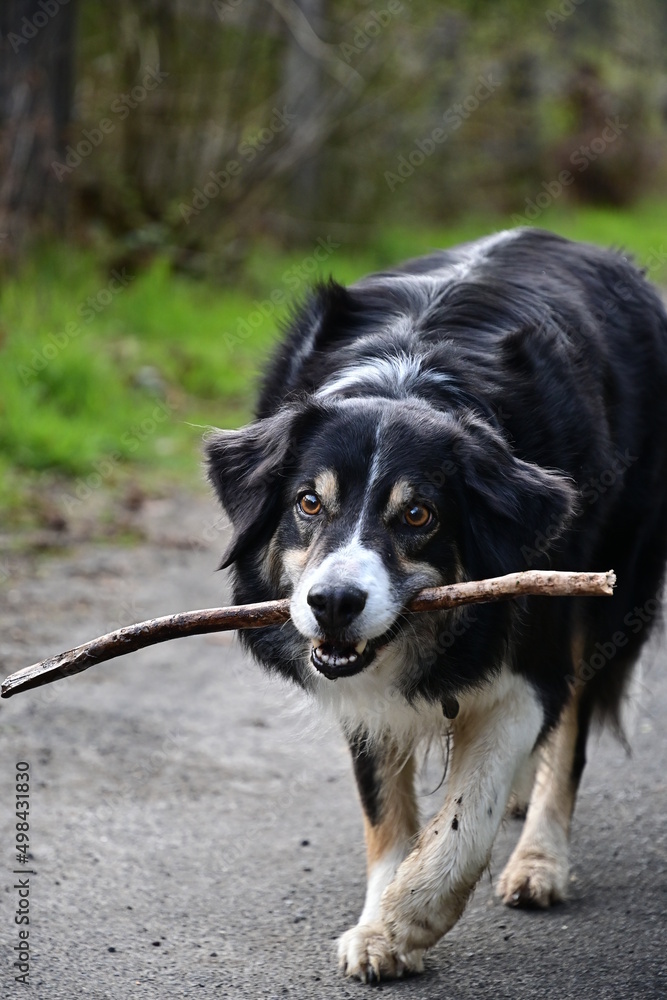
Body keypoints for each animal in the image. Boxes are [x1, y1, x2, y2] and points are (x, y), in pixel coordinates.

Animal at [205, 229, 667, 984]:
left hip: (607, 585)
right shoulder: (358, 686)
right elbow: (386, 811)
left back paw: (539, 860)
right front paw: (378, 929)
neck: (406, 378)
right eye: (309, 503)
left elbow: (465, 815)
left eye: (417, 515)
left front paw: (408, 915)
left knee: (570, 731)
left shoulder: (530, 651)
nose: (333, 604)